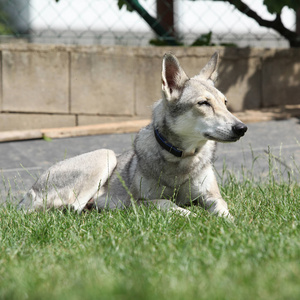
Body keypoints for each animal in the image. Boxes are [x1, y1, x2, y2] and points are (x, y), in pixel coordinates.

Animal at [19, 52, 248, 219]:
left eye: (225, 103)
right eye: (204, 103)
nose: (242, 128)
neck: (181, 158)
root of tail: (26, 196)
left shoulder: (212, 195)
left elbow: (222, 207)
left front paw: (229, 222)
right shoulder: (138, 201)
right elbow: (167, 203)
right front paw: (194, 215)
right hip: (105, 154)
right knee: (72, 208)